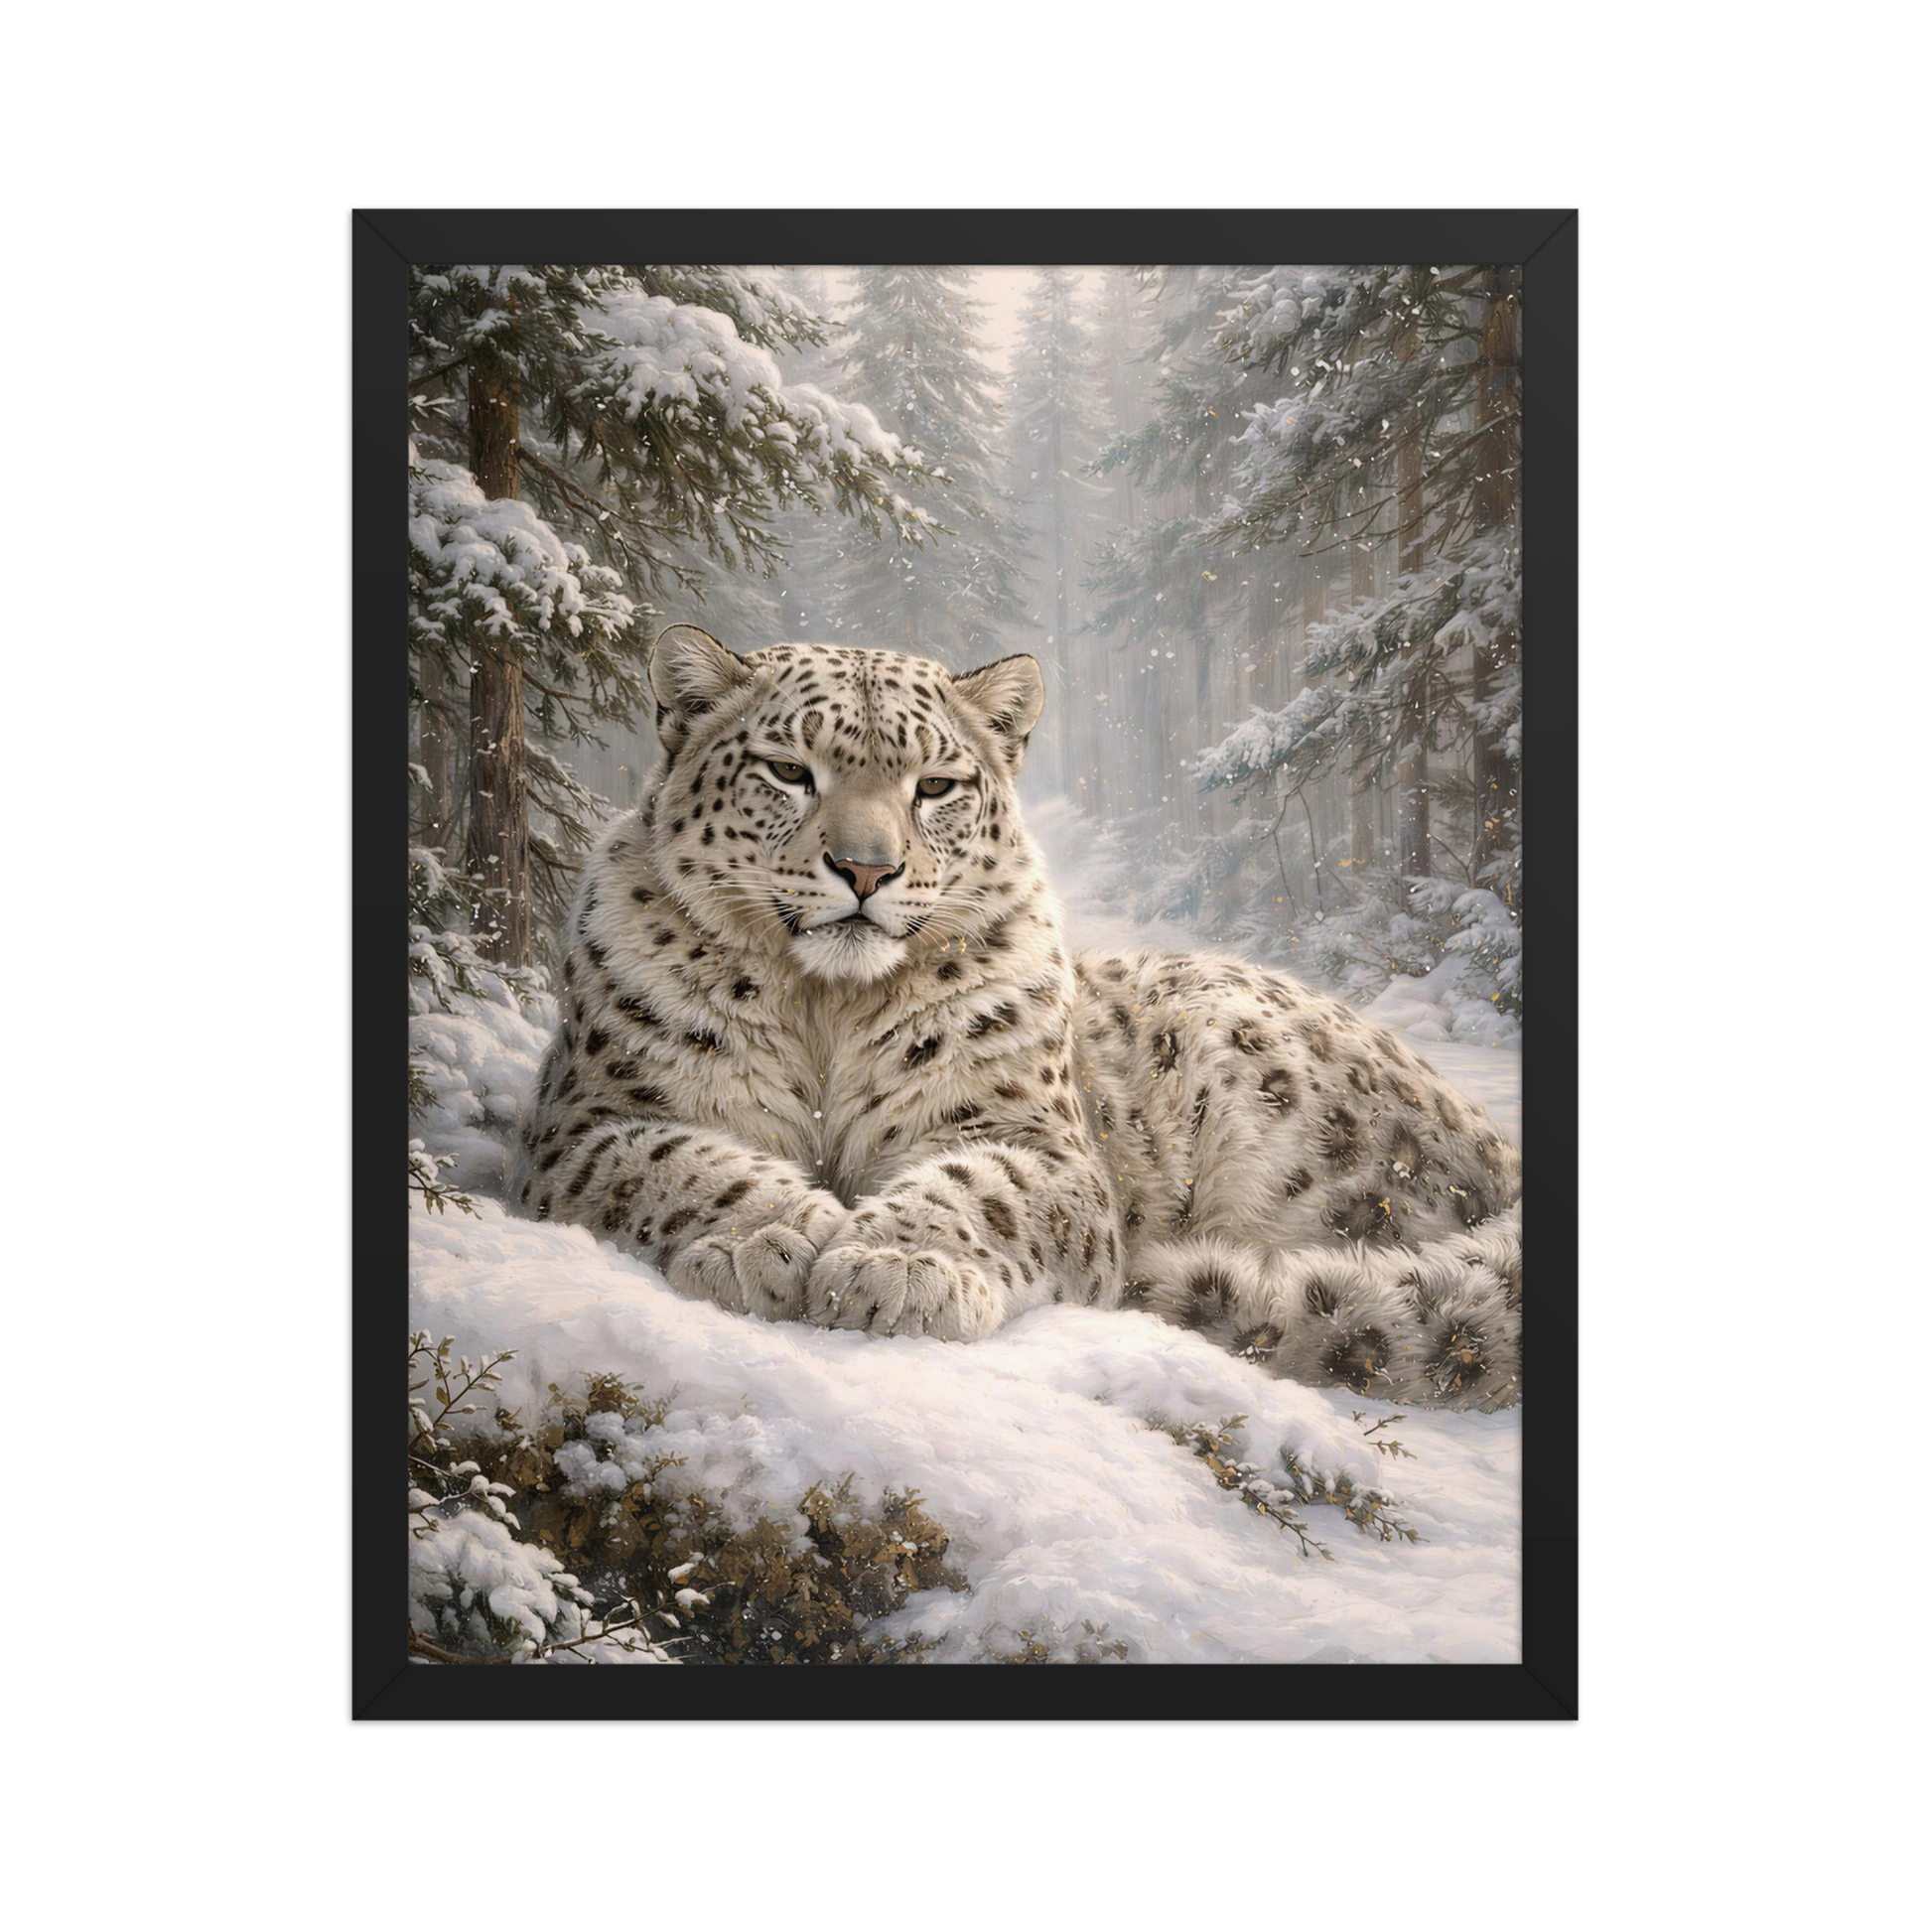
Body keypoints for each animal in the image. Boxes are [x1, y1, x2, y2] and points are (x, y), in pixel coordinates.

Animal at [507, 626, 1523, 1408]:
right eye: (790, 769)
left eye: (935, 785)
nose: (866, 868)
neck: (828, 1008)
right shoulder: (590, 1121)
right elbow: (683, 1163)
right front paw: (768, 1243)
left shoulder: (1033, 1139)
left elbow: (979, 1188)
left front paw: (894, 1268)